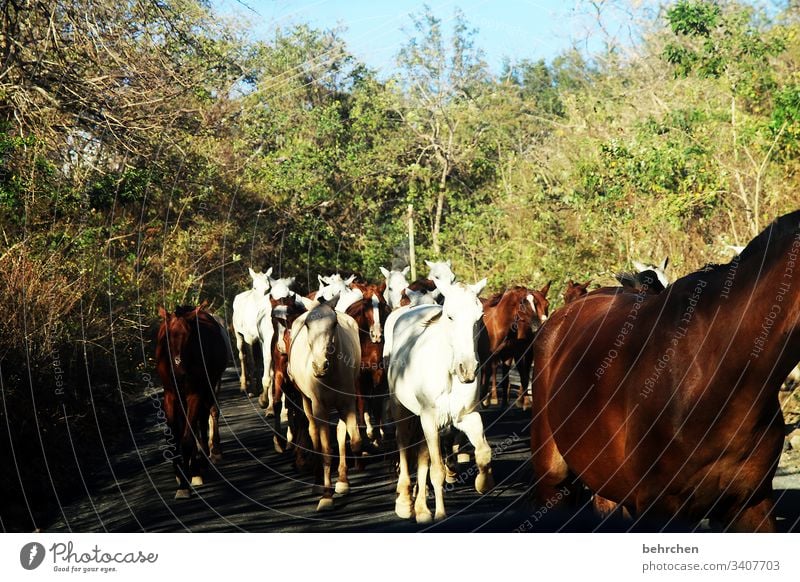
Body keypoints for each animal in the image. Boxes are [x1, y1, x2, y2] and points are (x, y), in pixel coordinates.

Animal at [156, 306, 227, 502]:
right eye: (167, 336)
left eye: (189, 336)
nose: (179, 371)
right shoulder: (170, 396)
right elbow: (173, 438)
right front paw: (180, 476)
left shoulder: (195, 394)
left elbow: (188, 438)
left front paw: (186, 483)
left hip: (209, 386)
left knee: (206, 416)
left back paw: (205, 459)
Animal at [231, 270, 278, 416]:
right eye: (255, 287)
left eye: (269, 288)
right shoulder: (249, 338)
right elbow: (251, 363)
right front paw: (252, 390)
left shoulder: (261, 340)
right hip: (239, 336)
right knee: (242, 356)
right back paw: (244, 386)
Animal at [288, 298, 362, 512]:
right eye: (307, 325)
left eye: (334, 323)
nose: (320, 366)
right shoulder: (319, 407)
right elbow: (326, 449)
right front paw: (326, 497)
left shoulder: (347, 403)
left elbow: (354, 440)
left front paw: (342, 482)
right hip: (307, 402)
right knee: (313, 433)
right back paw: (317, 482)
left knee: (340, 432)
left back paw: (343, 481)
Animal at [388, 278, 494, 524]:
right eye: (450, 316)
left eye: (480, 315)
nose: (467, 369)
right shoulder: (429, 418)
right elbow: (436, 469)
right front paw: (441, 513)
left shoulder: (466, 416)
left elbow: (484, 452)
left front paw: (483, 484)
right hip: (400, 408)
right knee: (403, 443)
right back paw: (405, 501)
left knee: (421, 454)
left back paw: (421, 508)